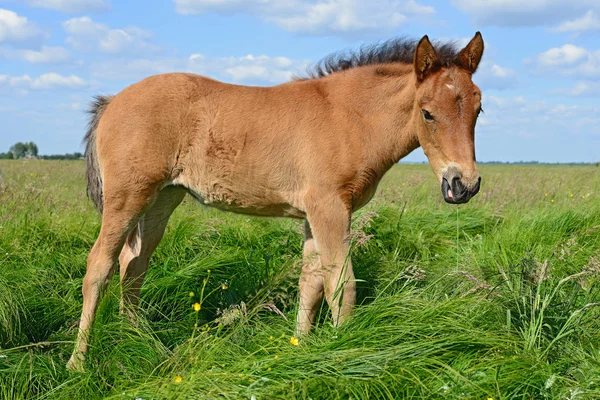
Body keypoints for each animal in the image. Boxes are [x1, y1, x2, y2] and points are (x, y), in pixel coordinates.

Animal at [68, 32, 486, 370]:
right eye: (427, 113)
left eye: (478, 109)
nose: (463, 184)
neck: (349, 117)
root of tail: (113, 100)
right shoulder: (330, 208)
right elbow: (341, 283)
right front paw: (346, 350)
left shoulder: (315, 215)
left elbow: (311, 283)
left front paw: (300, 347)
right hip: (128, 196)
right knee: (100, 266)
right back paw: (78, 362)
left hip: (162, 199)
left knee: (133, 265)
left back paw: (136, 339)